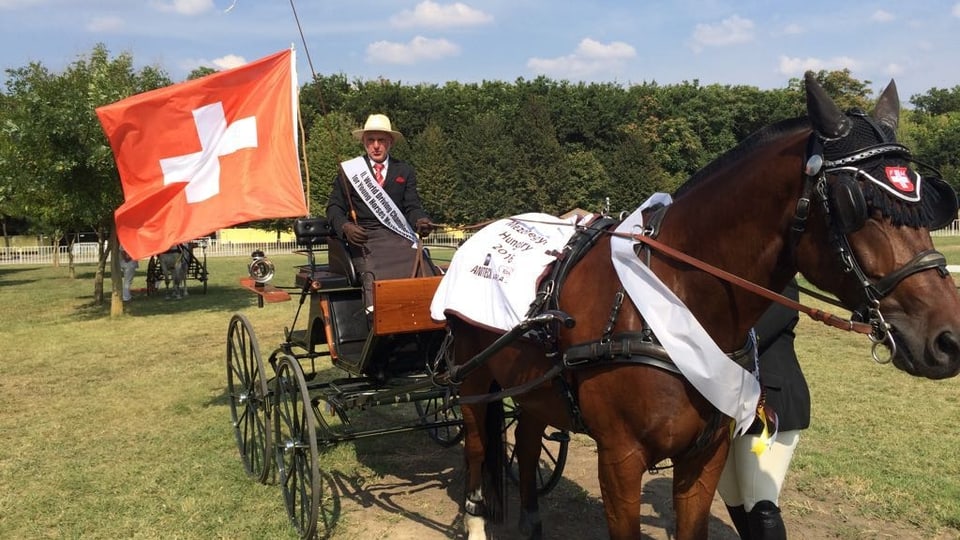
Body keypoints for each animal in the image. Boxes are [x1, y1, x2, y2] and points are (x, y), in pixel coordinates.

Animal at [440, 73, 960, 540]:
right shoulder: (620, 461)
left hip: (533, 387)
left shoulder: (704, 457)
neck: (666, 302)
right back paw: (476, 521)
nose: (949, 339)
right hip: (472, 379)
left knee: (527, 445)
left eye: (925, 205)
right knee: (477, 447)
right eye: (858, 205)